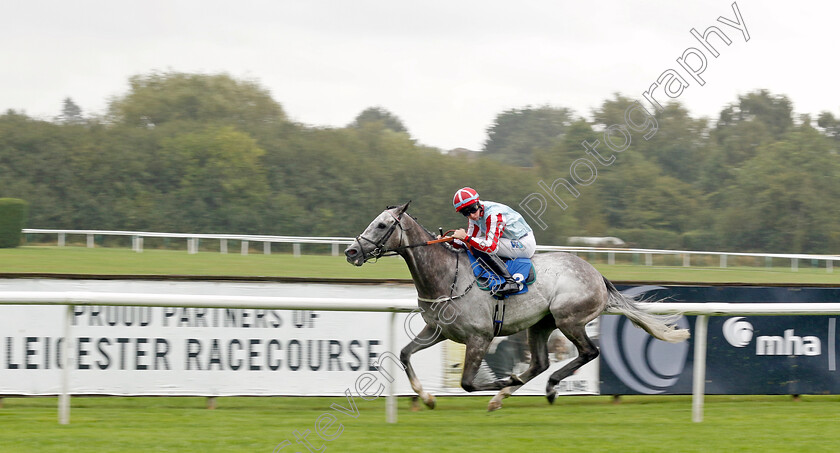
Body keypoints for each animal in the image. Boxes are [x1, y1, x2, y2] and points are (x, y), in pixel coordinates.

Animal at [342, 201, 688, 410]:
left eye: (382, 225)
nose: (350, 251)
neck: (446, 276)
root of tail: (597, 274)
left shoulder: (479, 337)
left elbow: (467, 383)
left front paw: (502, 381)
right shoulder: (437, 330)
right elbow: (404, 354)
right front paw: (427, 397)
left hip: (569, 319)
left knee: (588, 352)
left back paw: (545, 387)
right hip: (541, 324)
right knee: (540, 363)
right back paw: (512, 392)